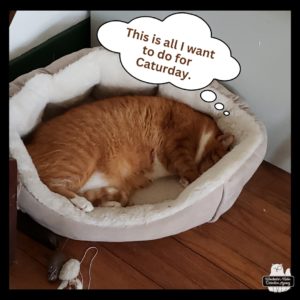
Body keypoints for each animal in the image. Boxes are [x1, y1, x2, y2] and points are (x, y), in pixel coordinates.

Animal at [25, 95, 234, 211]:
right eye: (214, 161)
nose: (206, 173)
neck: (200, 132)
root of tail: (30, 144)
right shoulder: (178, 143)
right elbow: (188, 167)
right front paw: (193, 178)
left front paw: (185, 180)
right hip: (78, 161)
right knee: (51, 186)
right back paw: (82, 203)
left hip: (117, 185)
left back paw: (110, 204)